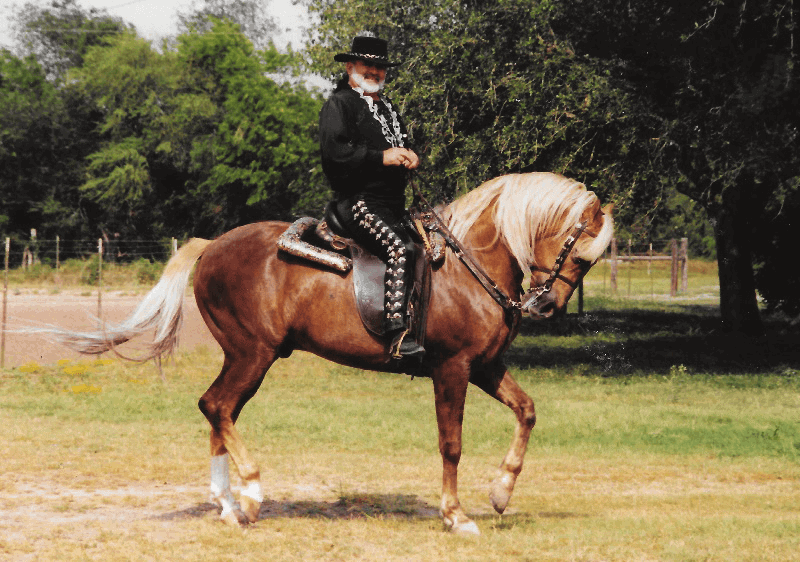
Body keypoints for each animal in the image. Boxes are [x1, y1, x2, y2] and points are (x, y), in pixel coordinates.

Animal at [49, 172, 613, 535]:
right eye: (578, 249)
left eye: (591, 259)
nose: (546, 306)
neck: (465, 264)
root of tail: (212, 246)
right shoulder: (452, 369)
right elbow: (451, 444)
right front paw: (455, 516)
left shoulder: (486, 367)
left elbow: (527, 411)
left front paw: (500, 492)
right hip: (253, 354)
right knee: (217, 406)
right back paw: (251, 492)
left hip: (246, 358)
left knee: (218, 410)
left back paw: (230, 506)